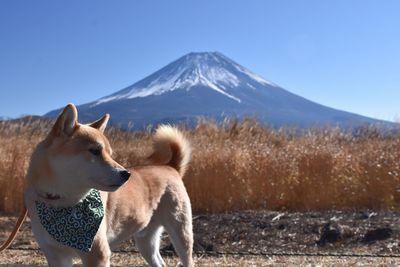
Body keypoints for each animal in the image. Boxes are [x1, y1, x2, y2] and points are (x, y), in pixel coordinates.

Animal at [24, 103, 195, 266]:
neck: (62, 204)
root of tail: (171, 167)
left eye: (110, 154)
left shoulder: (97, 254)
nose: (126, 174)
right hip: (146, 241)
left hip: (181, 233)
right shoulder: (56, 256)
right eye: (95, 151)